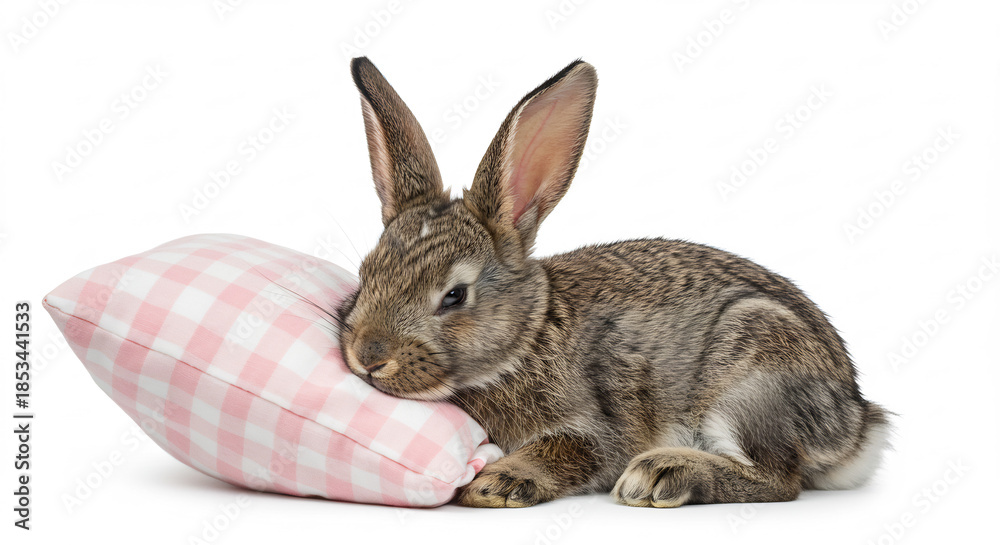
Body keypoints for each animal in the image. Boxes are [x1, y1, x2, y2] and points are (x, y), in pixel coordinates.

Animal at [336, 57, 890, 508]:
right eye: (366, 275)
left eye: (455, 295)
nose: (369, 357)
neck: (524, 341)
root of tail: (858, 425)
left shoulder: (597, 428)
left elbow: (574, 450)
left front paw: (498, 482)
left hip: (752, 373)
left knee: (778, 480)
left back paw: (661, 474)